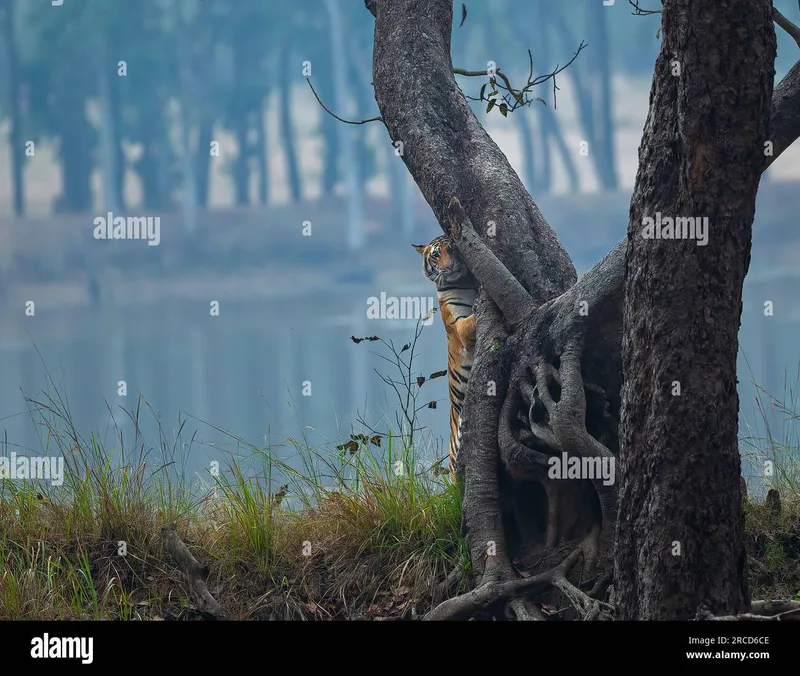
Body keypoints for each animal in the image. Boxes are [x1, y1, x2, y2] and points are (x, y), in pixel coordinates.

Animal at [410, 235, 478, 484]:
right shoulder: (459, 326)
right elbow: (472, 319)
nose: (448, 267)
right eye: (436, 255)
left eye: (454, 249)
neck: (464, 282)